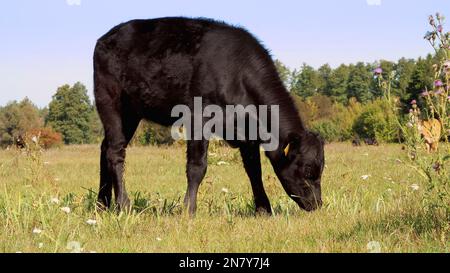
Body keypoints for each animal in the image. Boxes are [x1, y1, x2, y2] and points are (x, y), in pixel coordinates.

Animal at [95, 18, 326, 216]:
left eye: (321, 168)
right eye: (307, 170)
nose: (317, 204)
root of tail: (106, 37)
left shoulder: (248, 133)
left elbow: (254, 170)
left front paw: (263, 210)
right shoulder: (198, 118)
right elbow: (197, 167)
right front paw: (189, 210)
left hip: (131, 114)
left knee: (105, 148)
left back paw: (102, 205)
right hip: (110, 102)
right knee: (115, 152)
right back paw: (123, 205)